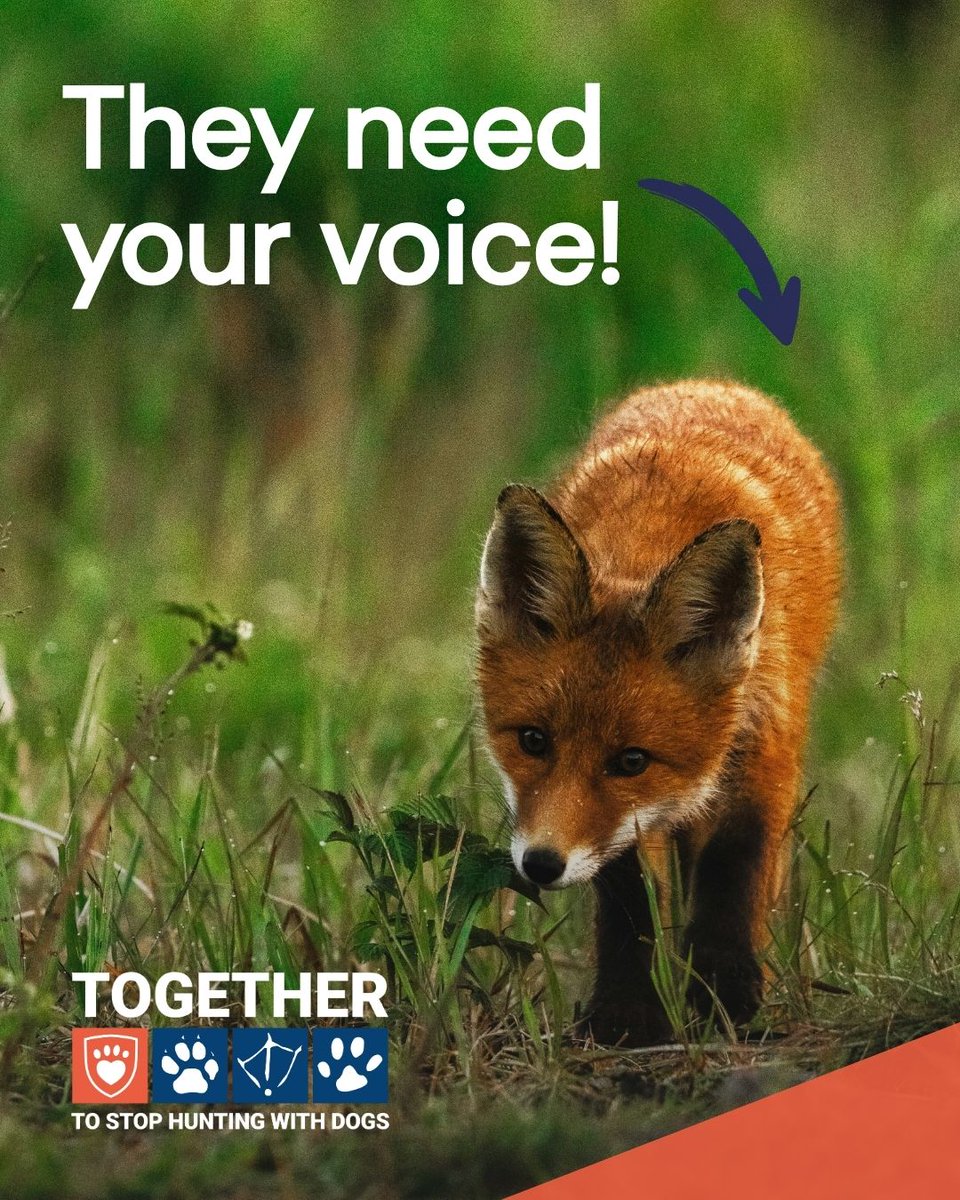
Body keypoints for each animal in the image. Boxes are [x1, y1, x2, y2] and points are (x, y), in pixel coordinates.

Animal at [474, 379, 841, 1045]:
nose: (540, 864)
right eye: (533, 741)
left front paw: (726, 992)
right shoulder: (622, 831)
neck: (648, 544)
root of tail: (711, 383)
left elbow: (735, 865)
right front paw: (627, 1013)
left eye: (632, 761)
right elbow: (631, 901)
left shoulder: (764, 744)